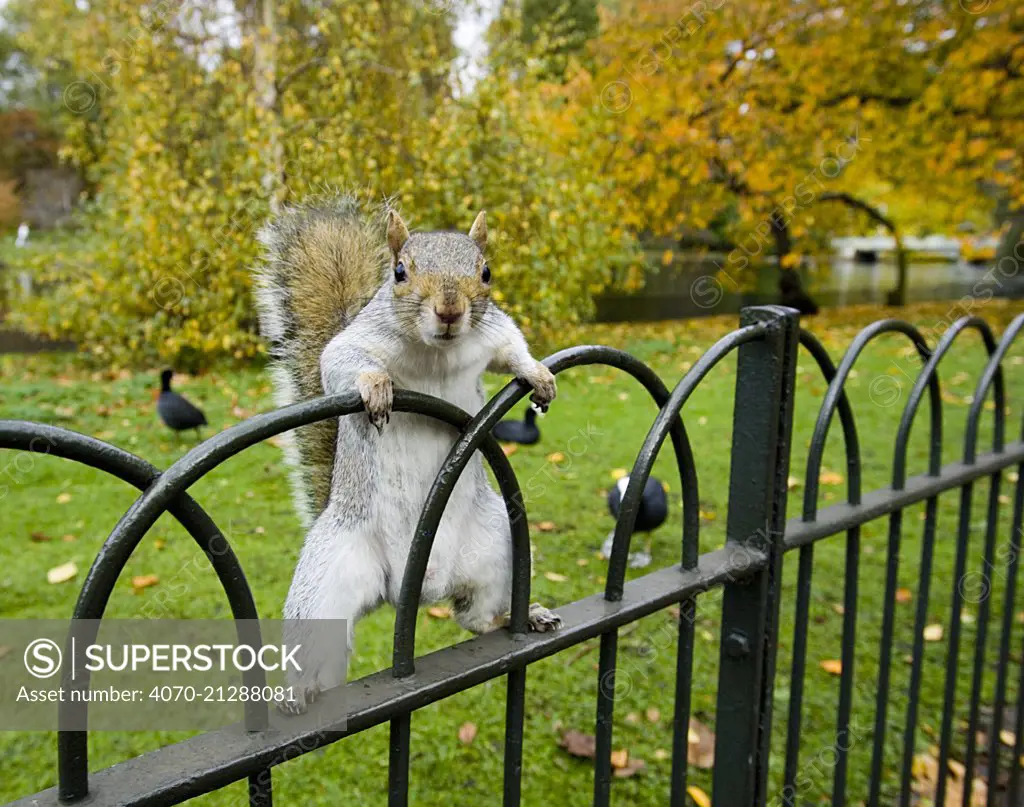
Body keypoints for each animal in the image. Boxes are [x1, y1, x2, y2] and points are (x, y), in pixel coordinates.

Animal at [253, 196, 561, 712]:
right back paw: (298, 691)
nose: (450, 309)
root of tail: (410, 587)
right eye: (399, 272)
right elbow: (341, 363)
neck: (436, 352)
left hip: (498, 547)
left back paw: (523, 616)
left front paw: (538, 373)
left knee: (475, 618)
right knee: (322, 660)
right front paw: (375, 385)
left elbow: (512, 348)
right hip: (327, 583)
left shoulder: (492, 332)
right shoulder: (356, 343)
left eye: (486, 272)